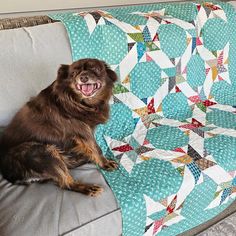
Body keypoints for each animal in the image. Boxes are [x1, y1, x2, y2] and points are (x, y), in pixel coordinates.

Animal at [0, 58, 118, 196]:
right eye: (73, 73)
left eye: (95, 69)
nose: (83, 77)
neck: (79, 102)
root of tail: (10, 176)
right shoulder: (83, 133)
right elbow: (96, 149)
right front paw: (105, 163)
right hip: (40, 151)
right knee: (67, 184)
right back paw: (87, 188)